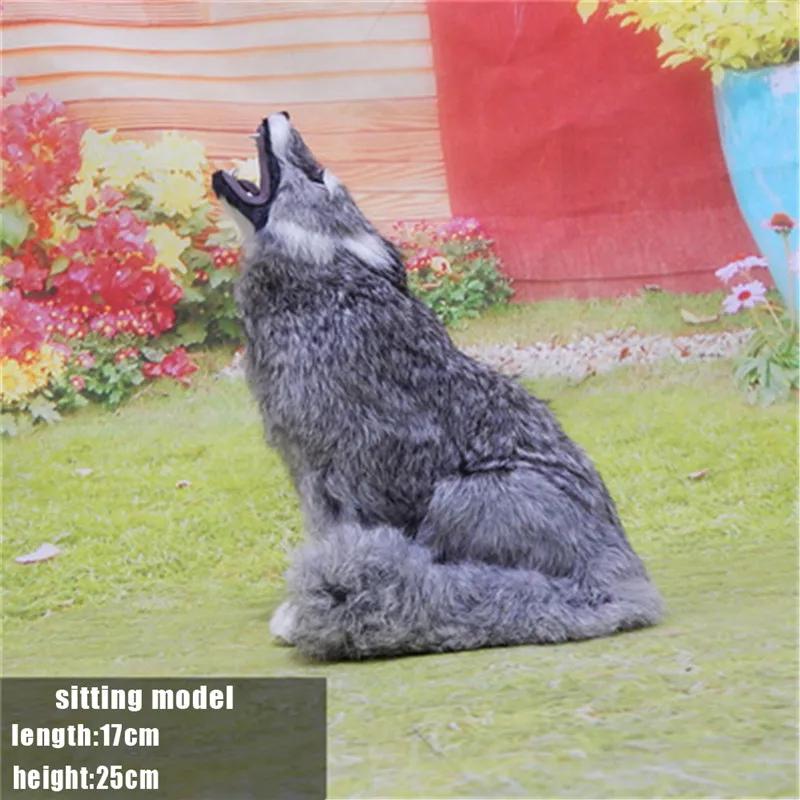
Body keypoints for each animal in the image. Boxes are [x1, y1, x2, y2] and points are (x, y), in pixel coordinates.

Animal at [211, 112, 664, 662]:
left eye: (317, 176)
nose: (279, 116)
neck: (319, 268)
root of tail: (617, 575)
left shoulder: (343, 477)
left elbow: (336, 538)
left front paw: (298, 616)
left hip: (465, 494)